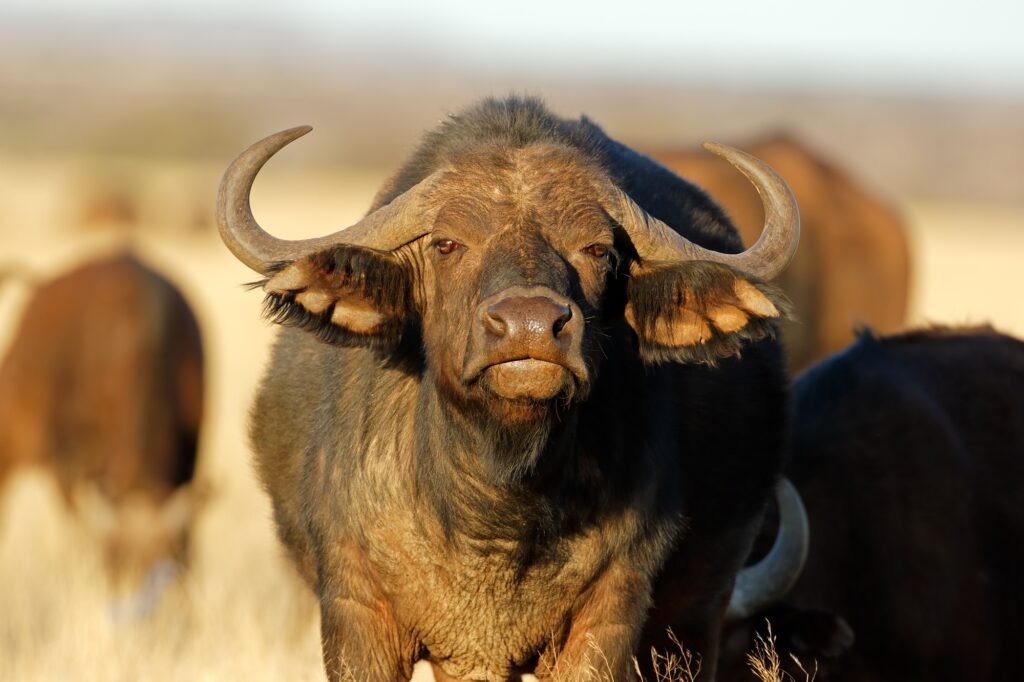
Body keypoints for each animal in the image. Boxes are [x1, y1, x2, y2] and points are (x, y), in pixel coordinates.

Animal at [218, 97, 807, 681]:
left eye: (598, 250)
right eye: (446, 244)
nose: (531, 325)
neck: (498, 502)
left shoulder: (608, 617)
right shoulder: (360, 614)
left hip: (697, 613)